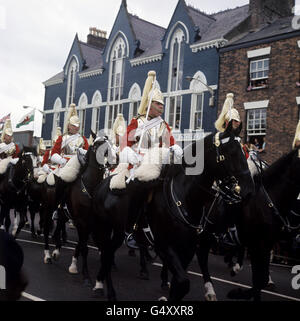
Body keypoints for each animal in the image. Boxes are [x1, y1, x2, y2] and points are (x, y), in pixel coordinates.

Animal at [92, 121, 255, 298]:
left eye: (244, 152)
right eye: (231, 152)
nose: (249, 190)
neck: (185, 197)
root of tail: (102, 184)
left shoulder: (187, 248)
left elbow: (180, 283)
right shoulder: (164, 246)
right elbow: (183, 282)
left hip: (118, 232)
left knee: (108, 254)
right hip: (109, 230)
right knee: (107, 254)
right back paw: (106, 289)